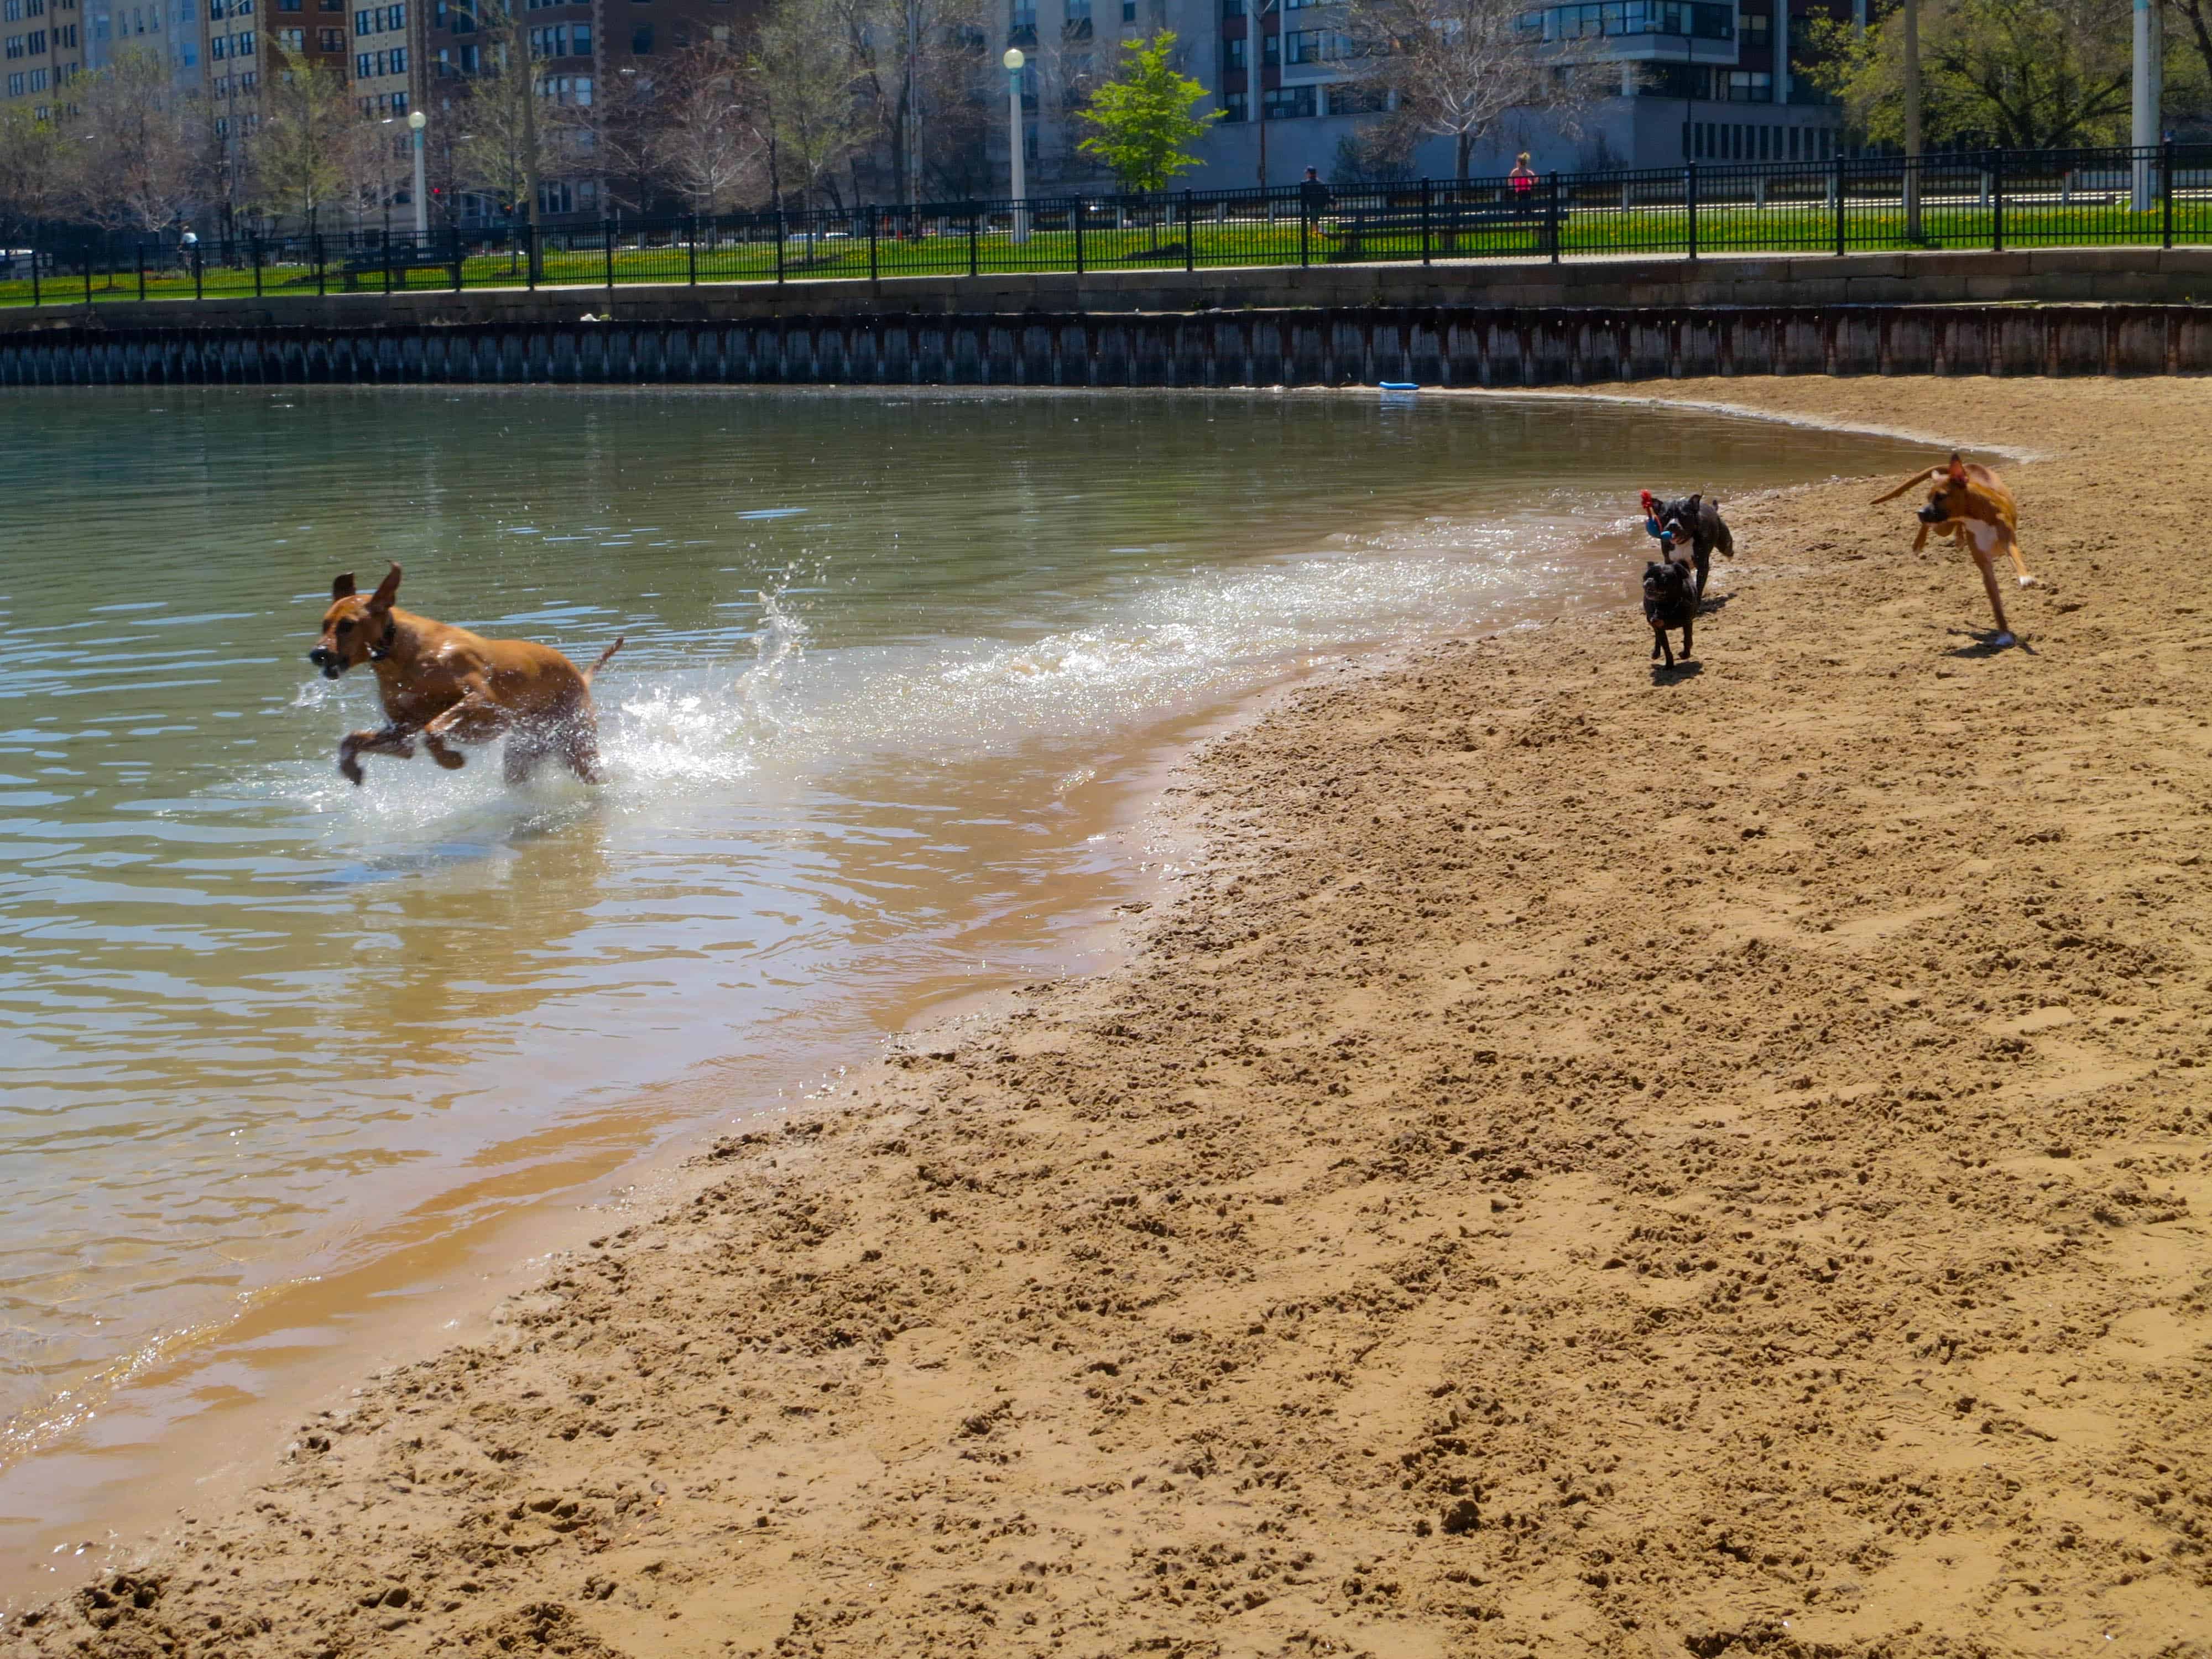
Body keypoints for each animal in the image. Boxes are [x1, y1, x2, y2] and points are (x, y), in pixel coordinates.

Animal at [310, 566, 624, 787]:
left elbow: (433, 729)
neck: (404, 657)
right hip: (523, 754)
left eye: (348, 625)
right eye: (325, 624)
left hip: (578, 749)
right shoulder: (401, 734)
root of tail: (581, 678)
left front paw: (450, 759)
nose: (317, 654)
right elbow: (351, 739)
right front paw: (350, 769)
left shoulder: (486, 703)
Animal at [1876, 456, 2026, 650]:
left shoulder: (2009, 543)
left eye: (1940, 496)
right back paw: (1920, 543)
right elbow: (1996, 606)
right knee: (1929, 525)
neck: (1978, 516)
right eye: (1928, 497)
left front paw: (2026, 578)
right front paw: (2004, 635)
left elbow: (2017, 560)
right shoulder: (1985, 567)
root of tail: (1968, 466)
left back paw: (1957, 537)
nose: (1920, 512)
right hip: (1943, 525)